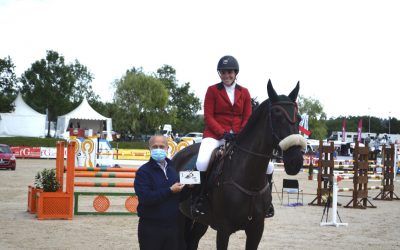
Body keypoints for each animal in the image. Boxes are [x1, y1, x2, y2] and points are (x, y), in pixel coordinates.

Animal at [172, 80, 306, 250]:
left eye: (299, 118)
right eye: (277, 116)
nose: (295, 161)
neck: (249, 179)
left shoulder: (256, 229)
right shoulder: (223, 230)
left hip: (200, 221)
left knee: (193, 241)